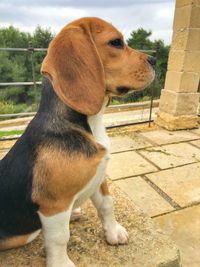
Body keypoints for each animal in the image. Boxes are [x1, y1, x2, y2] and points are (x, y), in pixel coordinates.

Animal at [0, 17, 155, 267]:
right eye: (116, 42)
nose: (154, 60)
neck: (91, 122)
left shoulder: (100, 176)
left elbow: (107, 205)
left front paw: (113, 232)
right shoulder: (54, 204)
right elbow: (60, 236)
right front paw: (61, 263)